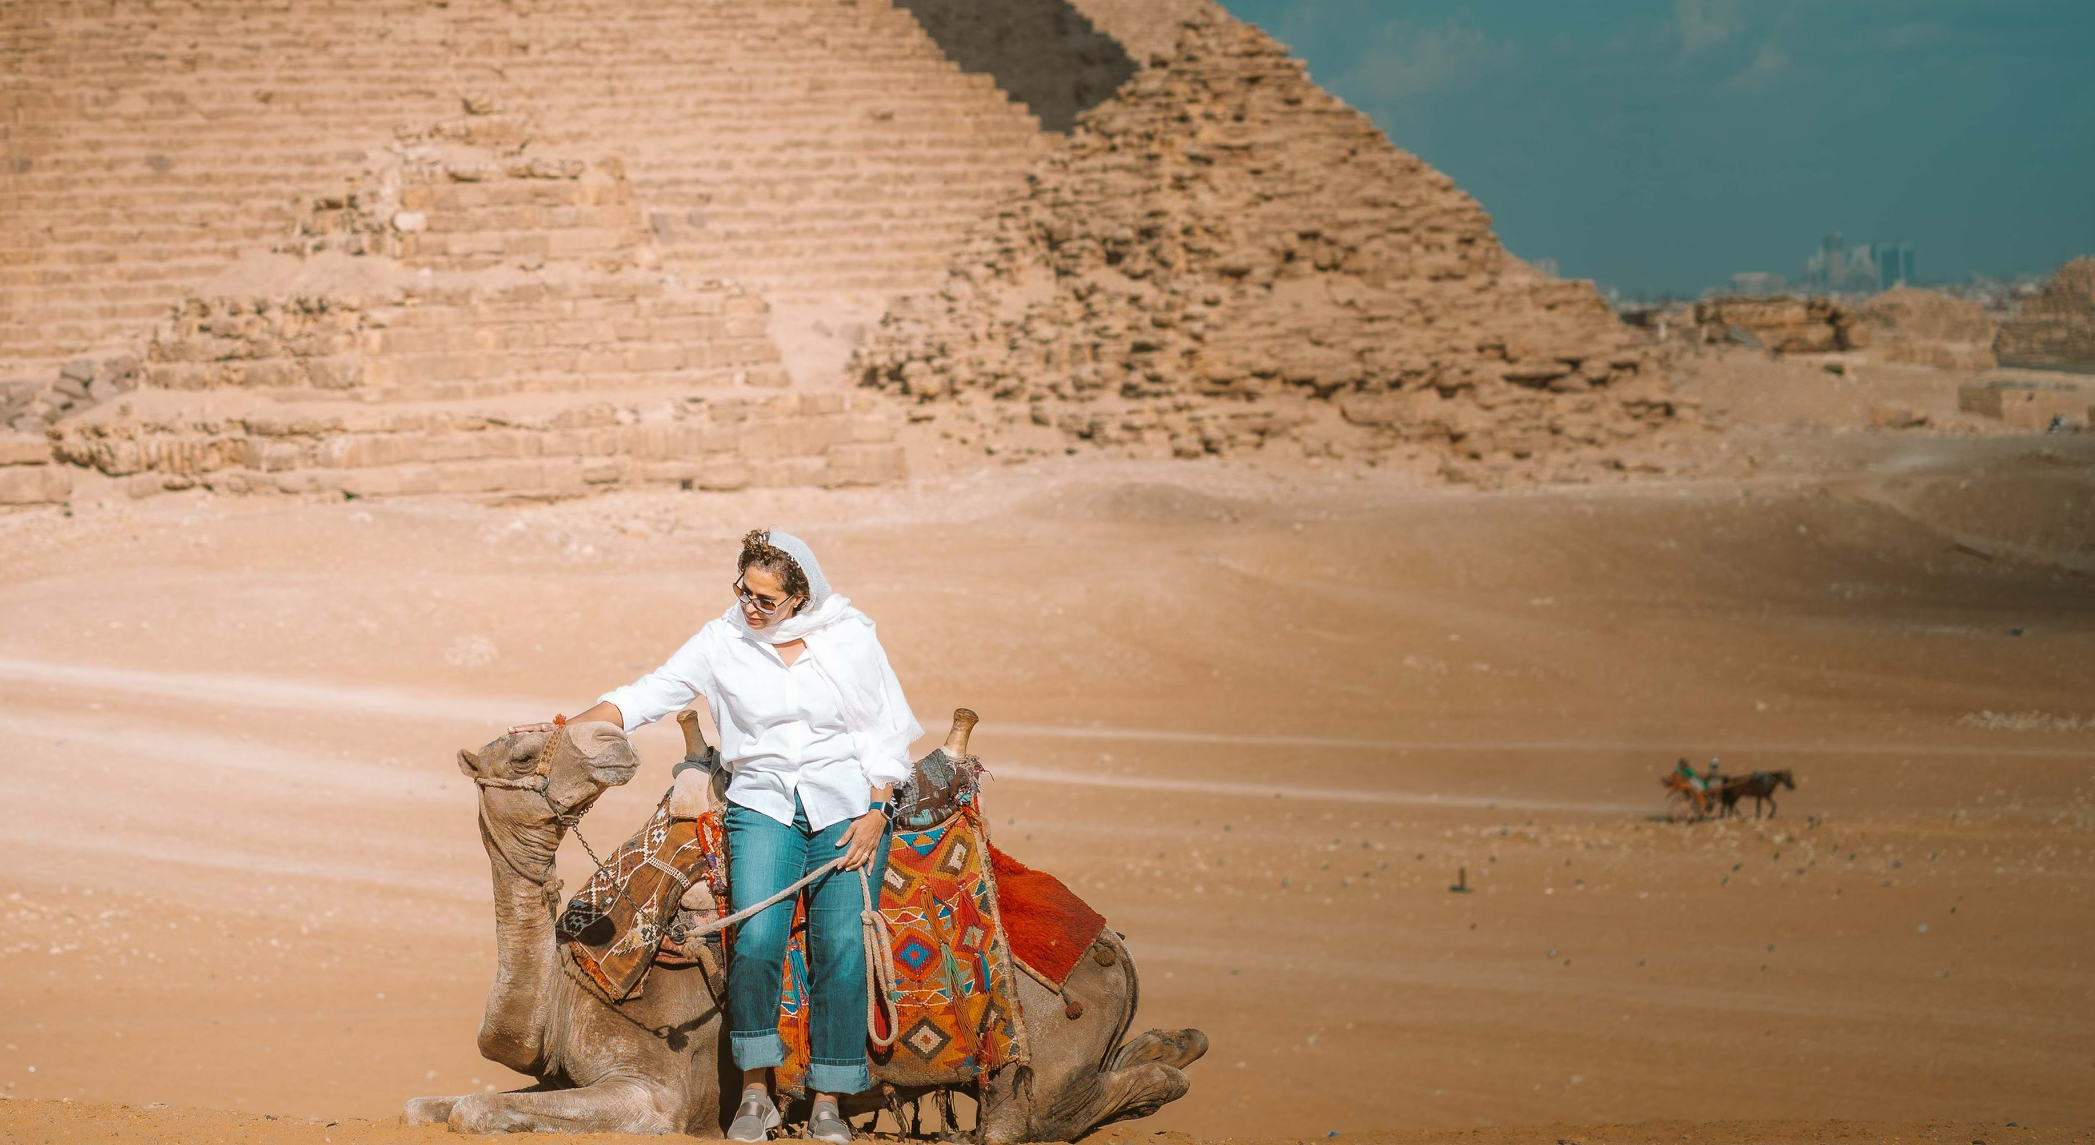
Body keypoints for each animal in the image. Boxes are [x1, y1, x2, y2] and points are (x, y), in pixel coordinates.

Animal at [404, 718, 1205, 1140]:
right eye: (519, 750)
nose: (610, 736)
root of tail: (1111, 949)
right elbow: (436, 1103)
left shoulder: (656, 1095)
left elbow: (476, 1111)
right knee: (1155, 1053)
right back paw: (1178, 1040)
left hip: (1035, 1068)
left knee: (1046, 1114)